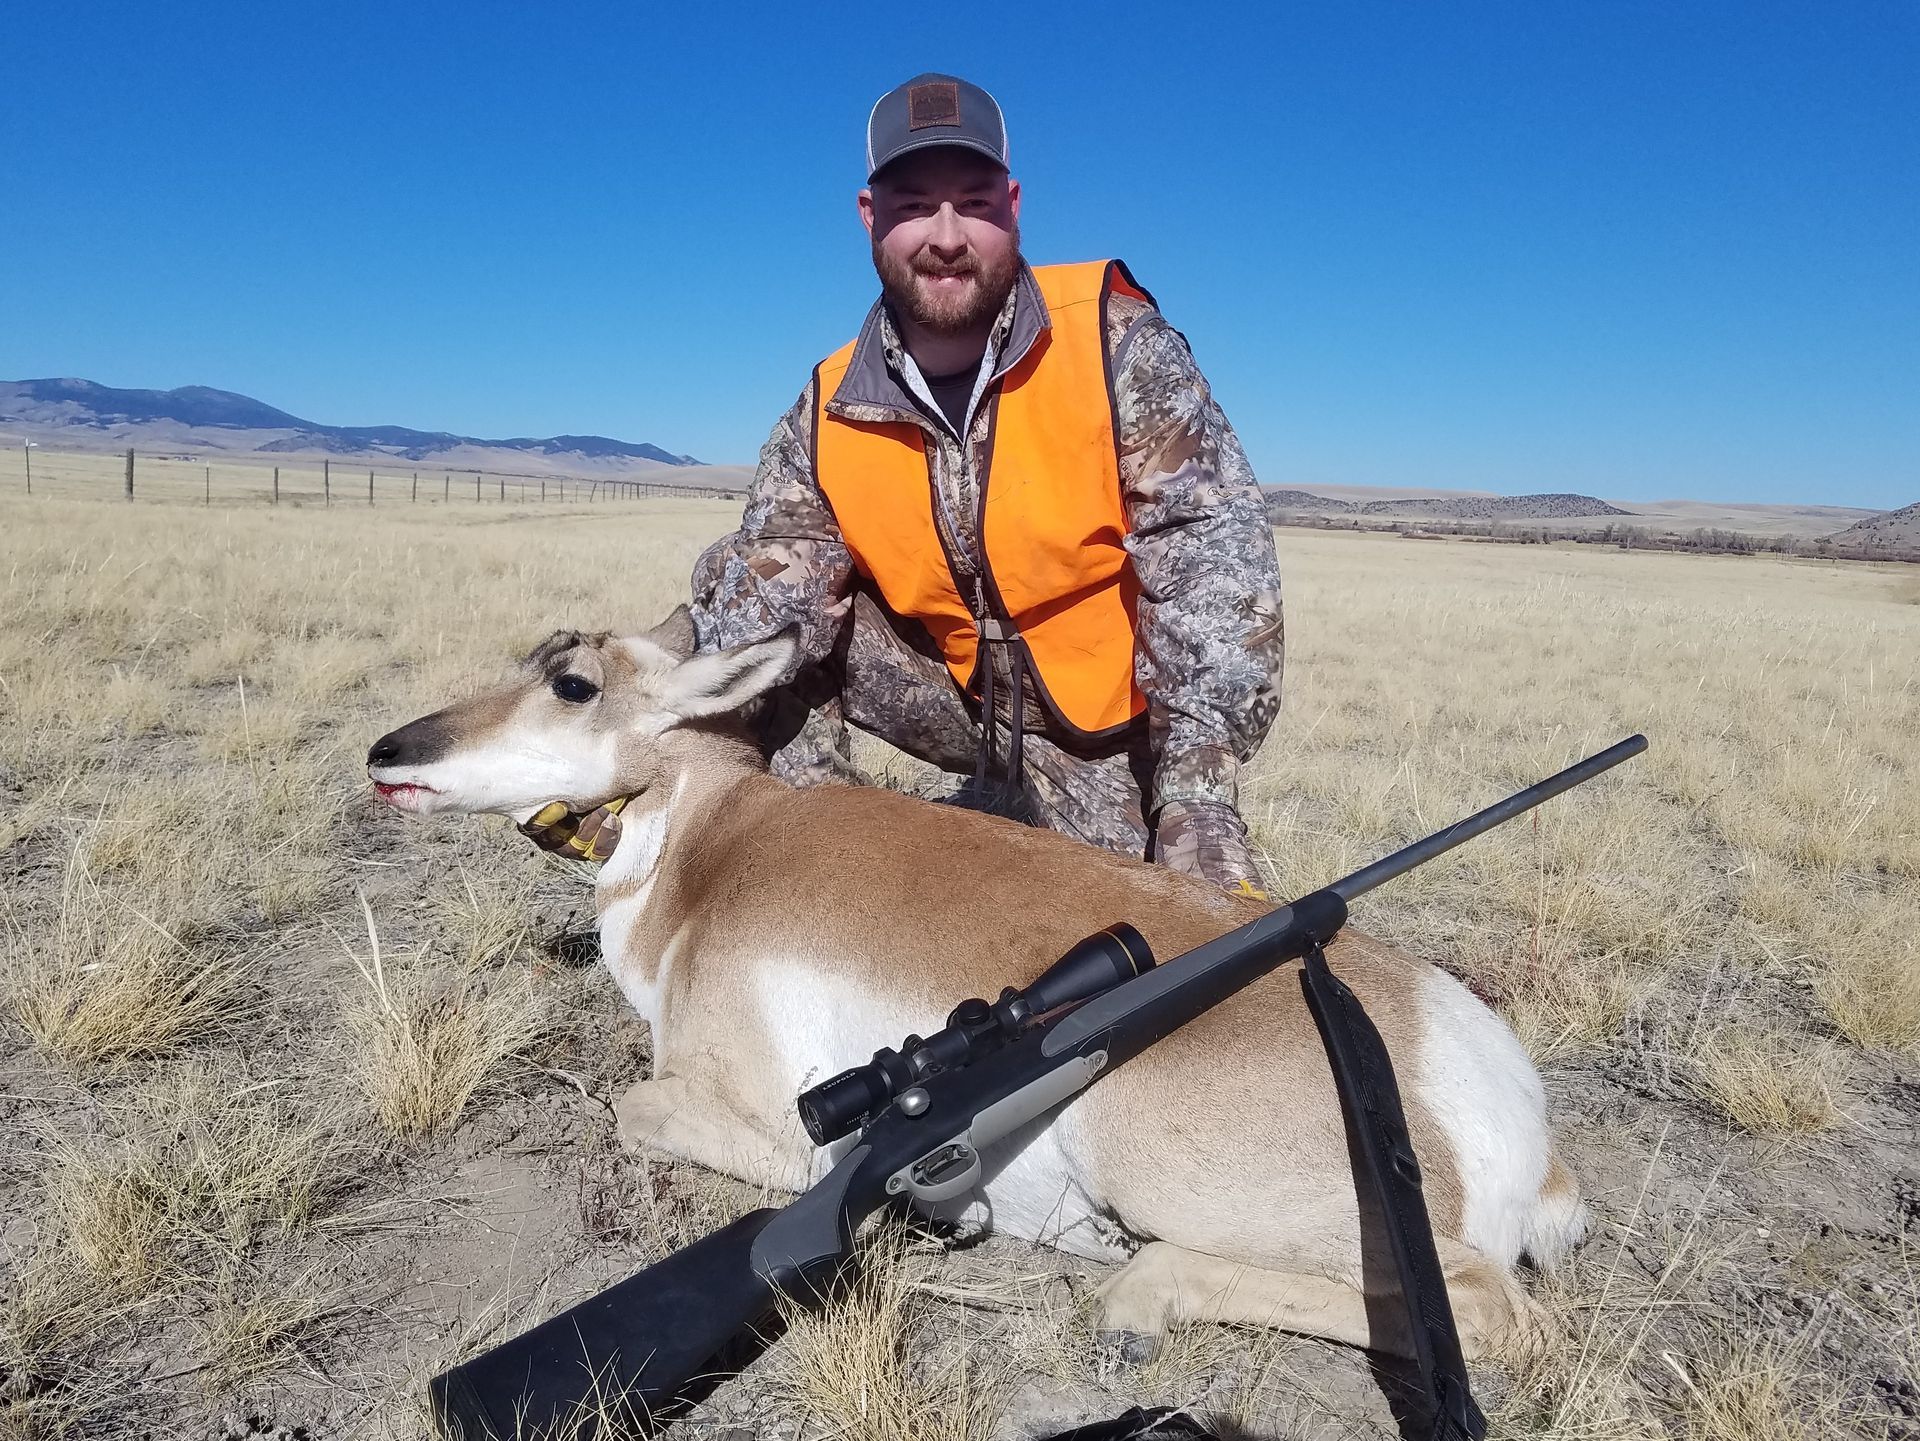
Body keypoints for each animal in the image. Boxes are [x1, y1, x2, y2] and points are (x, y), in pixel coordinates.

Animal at [366, 607, 1587, 1363]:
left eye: (572, 682)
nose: (387, 750)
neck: (715, 849)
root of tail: (1492, 1094)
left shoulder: (749, 1112)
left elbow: (643, 1112)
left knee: (1492, 1312)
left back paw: (1135, 1292)